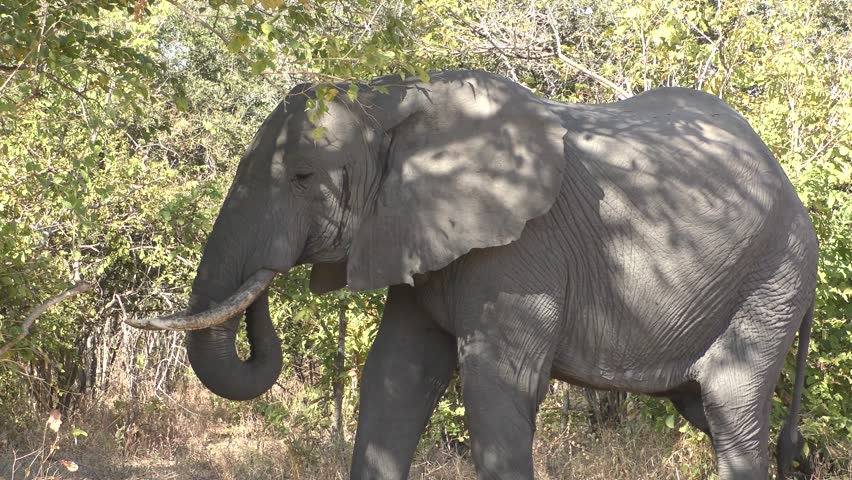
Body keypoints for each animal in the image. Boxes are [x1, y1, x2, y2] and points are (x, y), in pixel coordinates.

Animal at [128, 68, 820, 480]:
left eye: (302, 176)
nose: (263, 284)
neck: (394, 104)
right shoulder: (416, 237)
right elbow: (395, 379)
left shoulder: (521, 253)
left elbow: (495, 387)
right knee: (711, 408)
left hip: (775, 275)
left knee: (730, 405)